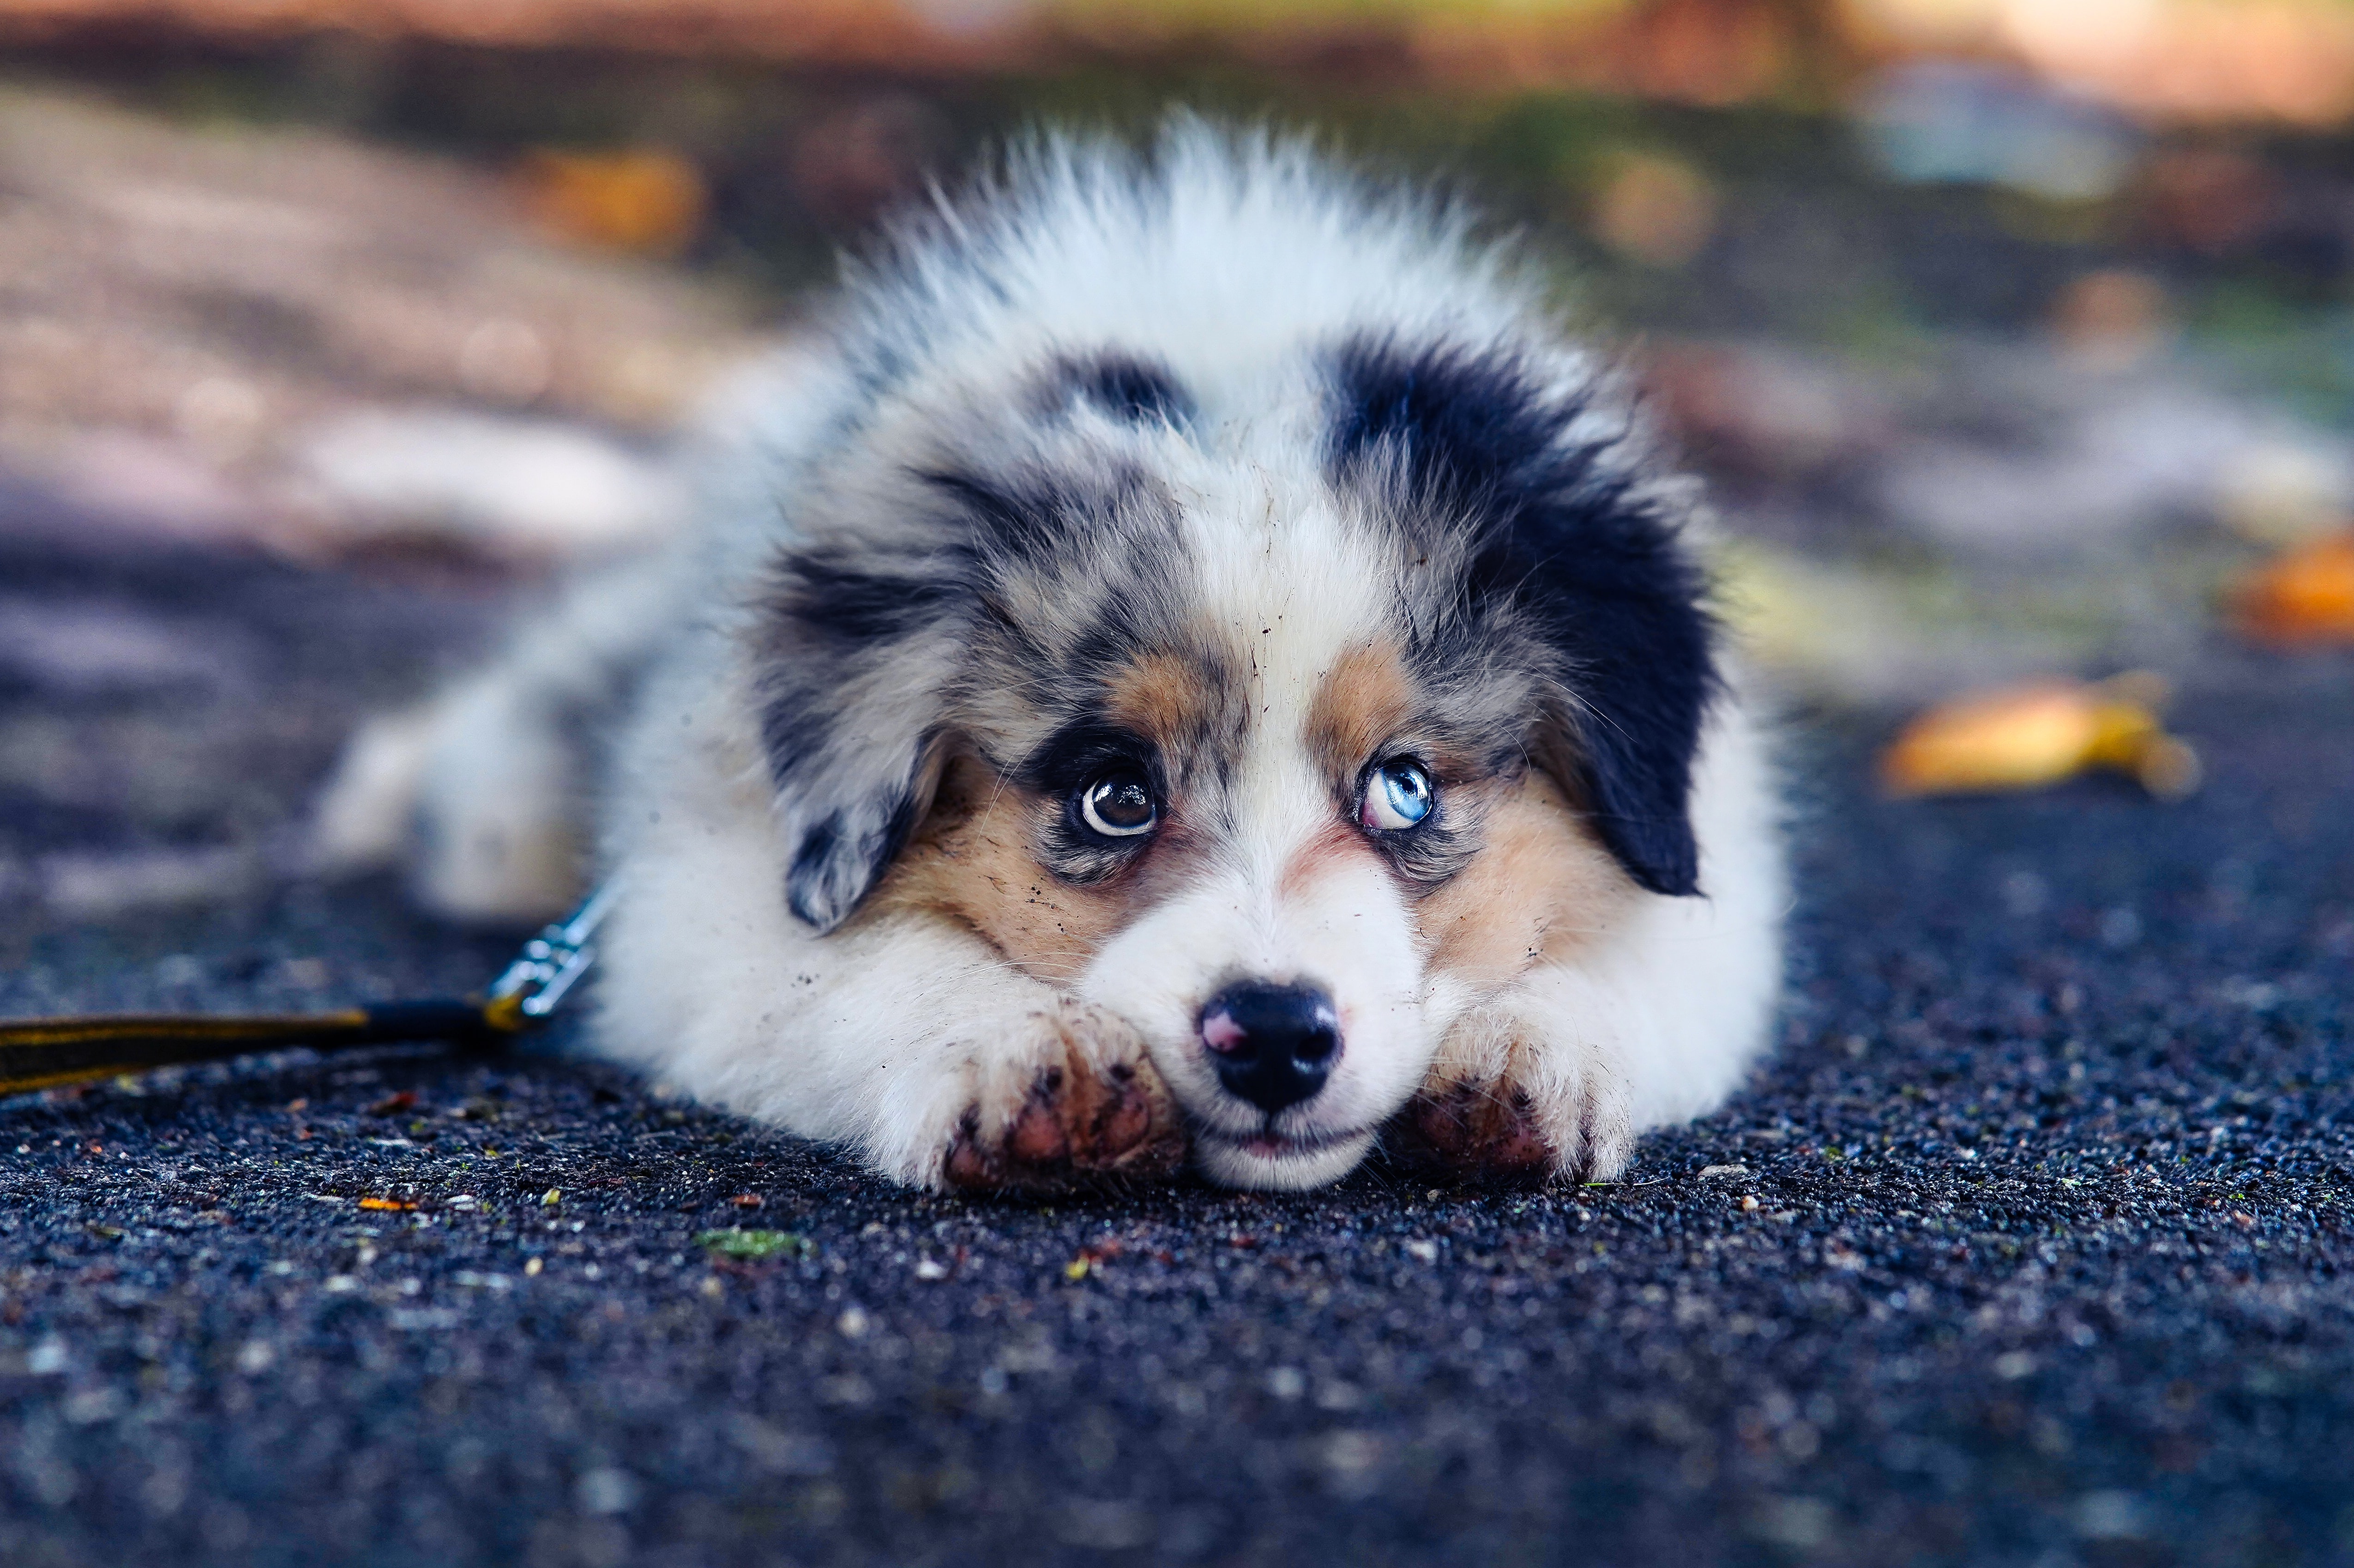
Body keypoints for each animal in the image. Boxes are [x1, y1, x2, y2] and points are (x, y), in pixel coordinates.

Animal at [318, 122, 1779, 1191]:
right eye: (1113, 793)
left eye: (1405, 785)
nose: (1274, 1038)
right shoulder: (703, 891)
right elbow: (844, 966)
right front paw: (1023, 1054)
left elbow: (1635, 949)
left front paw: (1524, 1048)